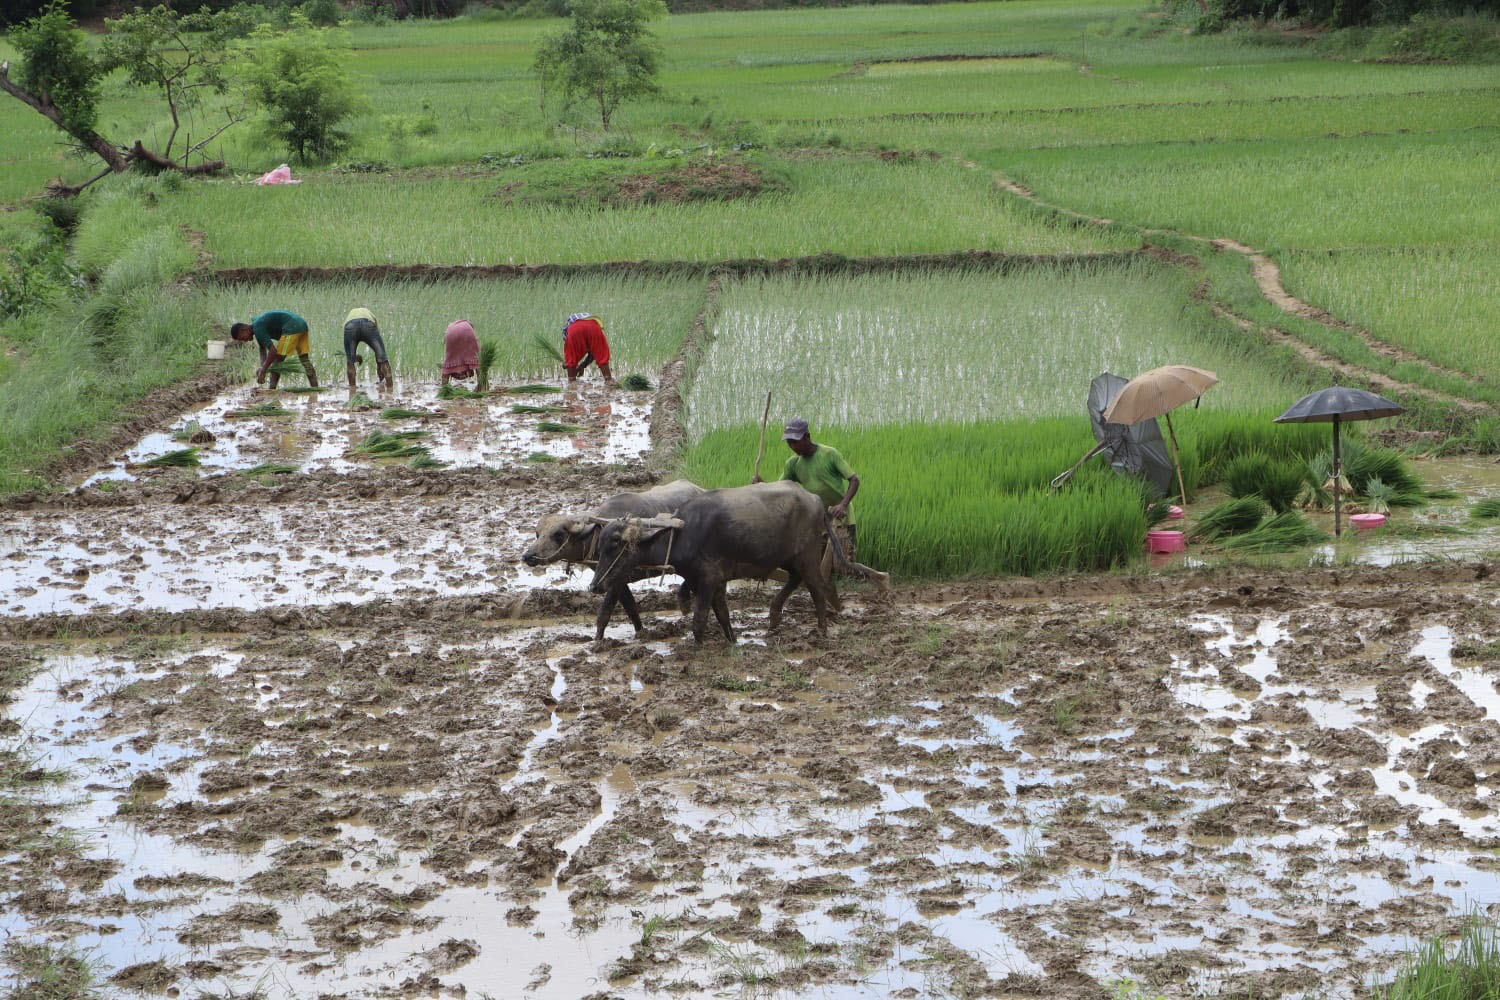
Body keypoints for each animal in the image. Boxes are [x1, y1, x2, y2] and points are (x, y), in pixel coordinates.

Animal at [522, 479, 702, 641]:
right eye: (538, 534)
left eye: (559, 534)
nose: (528, 556)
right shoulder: (614, 580)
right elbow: (630, 607)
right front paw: (640, 632)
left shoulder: (615, 580)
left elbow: (605, 610)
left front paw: (597, 641)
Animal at [585, 479, 846, 644]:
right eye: (600, 546)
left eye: (615, 544)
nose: (595, 586)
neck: (683, 534)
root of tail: (815, 499)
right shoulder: (714, 582)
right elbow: (722, 614)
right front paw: (732, 641)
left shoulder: (708, 580)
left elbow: (699, 619)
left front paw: (696, 647)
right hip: (790, 558)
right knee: (795, 579)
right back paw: (773, 618)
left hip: (808, 556)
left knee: (817, 588)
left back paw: (820, 630)